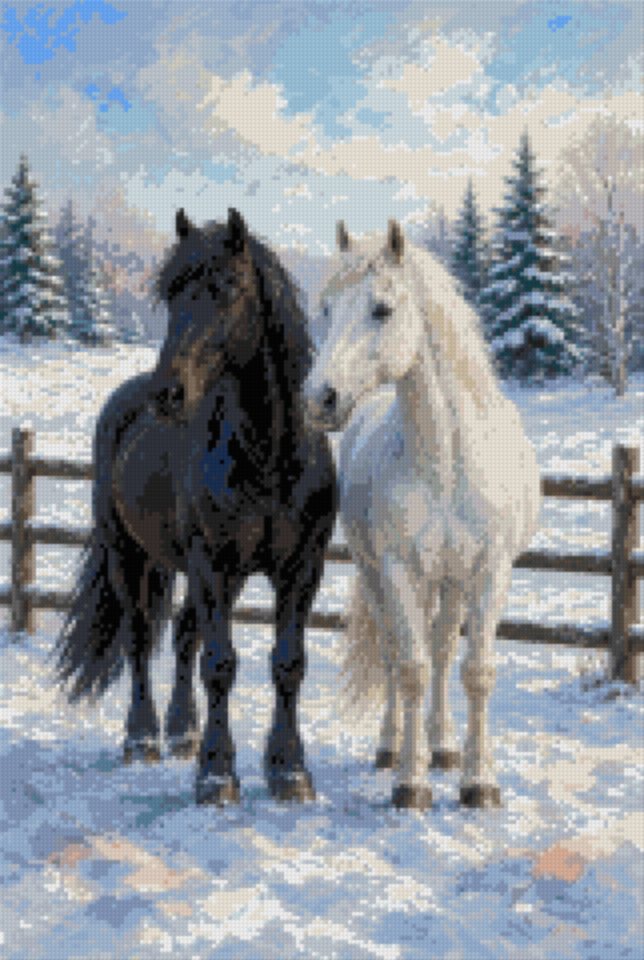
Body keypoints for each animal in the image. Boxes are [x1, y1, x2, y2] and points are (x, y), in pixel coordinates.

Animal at [55, 207, 337, 806]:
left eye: (227, 287)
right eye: (170, 293)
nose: (169, 392)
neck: (268, 454)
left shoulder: (302, 568)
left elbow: (287, 664)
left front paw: (289, 772)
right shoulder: (213, 564)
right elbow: (220, 664)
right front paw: (216, 776)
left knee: (184, 636)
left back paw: (181, 733)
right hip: (130, 556)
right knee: (142, 641)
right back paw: (142, 740)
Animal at [304, 219, 540, 809]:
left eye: (382, 309)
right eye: (327, 308)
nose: (319, 399)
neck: (446, 461)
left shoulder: (490, 572)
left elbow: (475, 672)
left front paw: (478, 782)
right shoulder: (399, 571)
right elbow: (409, 669)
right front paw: (410, 783)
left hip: (451, 580)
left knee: (442, 647)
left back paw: (445, 748)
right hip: (378, 574)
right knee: (399, 654)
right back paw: (393, 749)